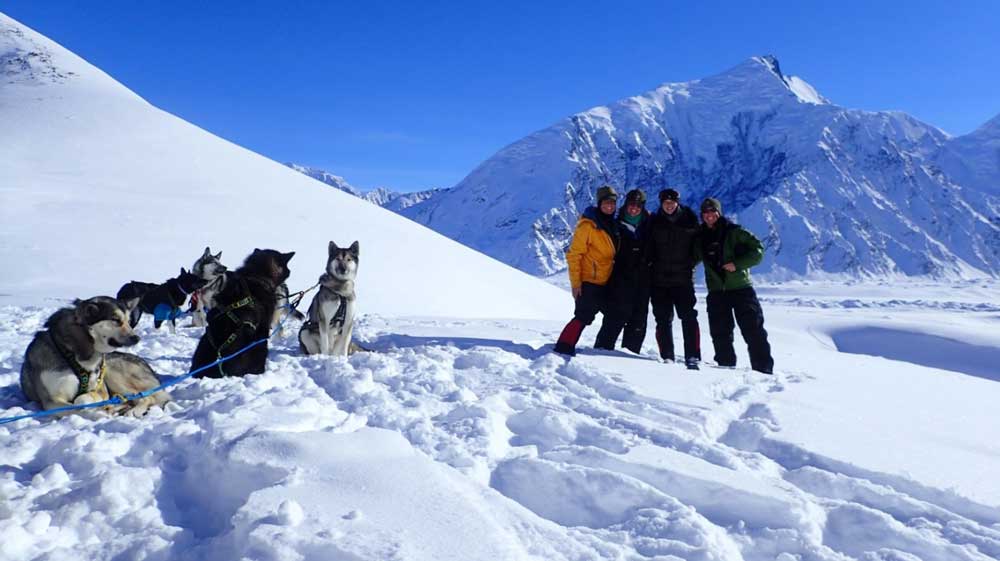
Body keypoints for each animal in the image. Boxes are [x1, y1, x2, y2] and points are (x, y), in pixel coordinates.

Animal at [20, 298, 173, 416]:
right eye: (116, 320)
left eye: (129, 321)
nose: (137, 338)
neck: (71, 354)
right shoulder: (51, 401)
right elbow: (76, 406)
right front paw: (99, 412)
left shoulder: (101, 390)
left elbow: (80, 400)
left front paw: (98, 410)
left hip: (113, 375)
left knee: (146, 398)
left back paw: (131, 411)